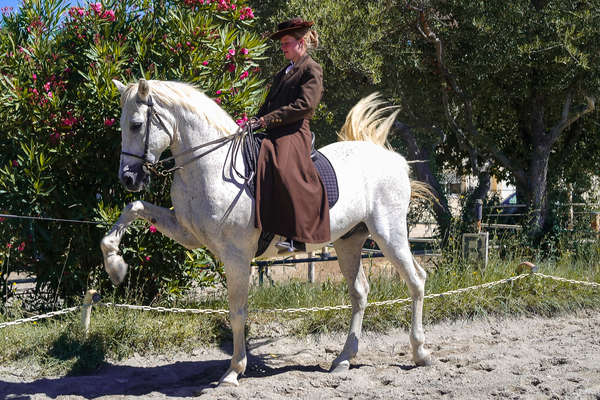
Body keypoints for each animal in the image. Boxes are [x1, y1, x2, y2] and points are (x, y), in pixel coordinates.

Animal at [102, 79, 432, 386]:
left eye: (136, 125)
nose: (128, 178)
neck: (209, 166)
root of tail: (392, 159)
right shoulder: (187, 233)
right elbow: (133, 208)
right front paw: (115, 265)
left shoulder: (236, 256)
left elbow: (237, 312)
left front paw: (233, 371)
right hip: (349, 241)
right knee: (360, 292)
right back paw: (343, 359)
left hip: (388, 234)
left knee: (416, 280)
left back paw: (419, 353)